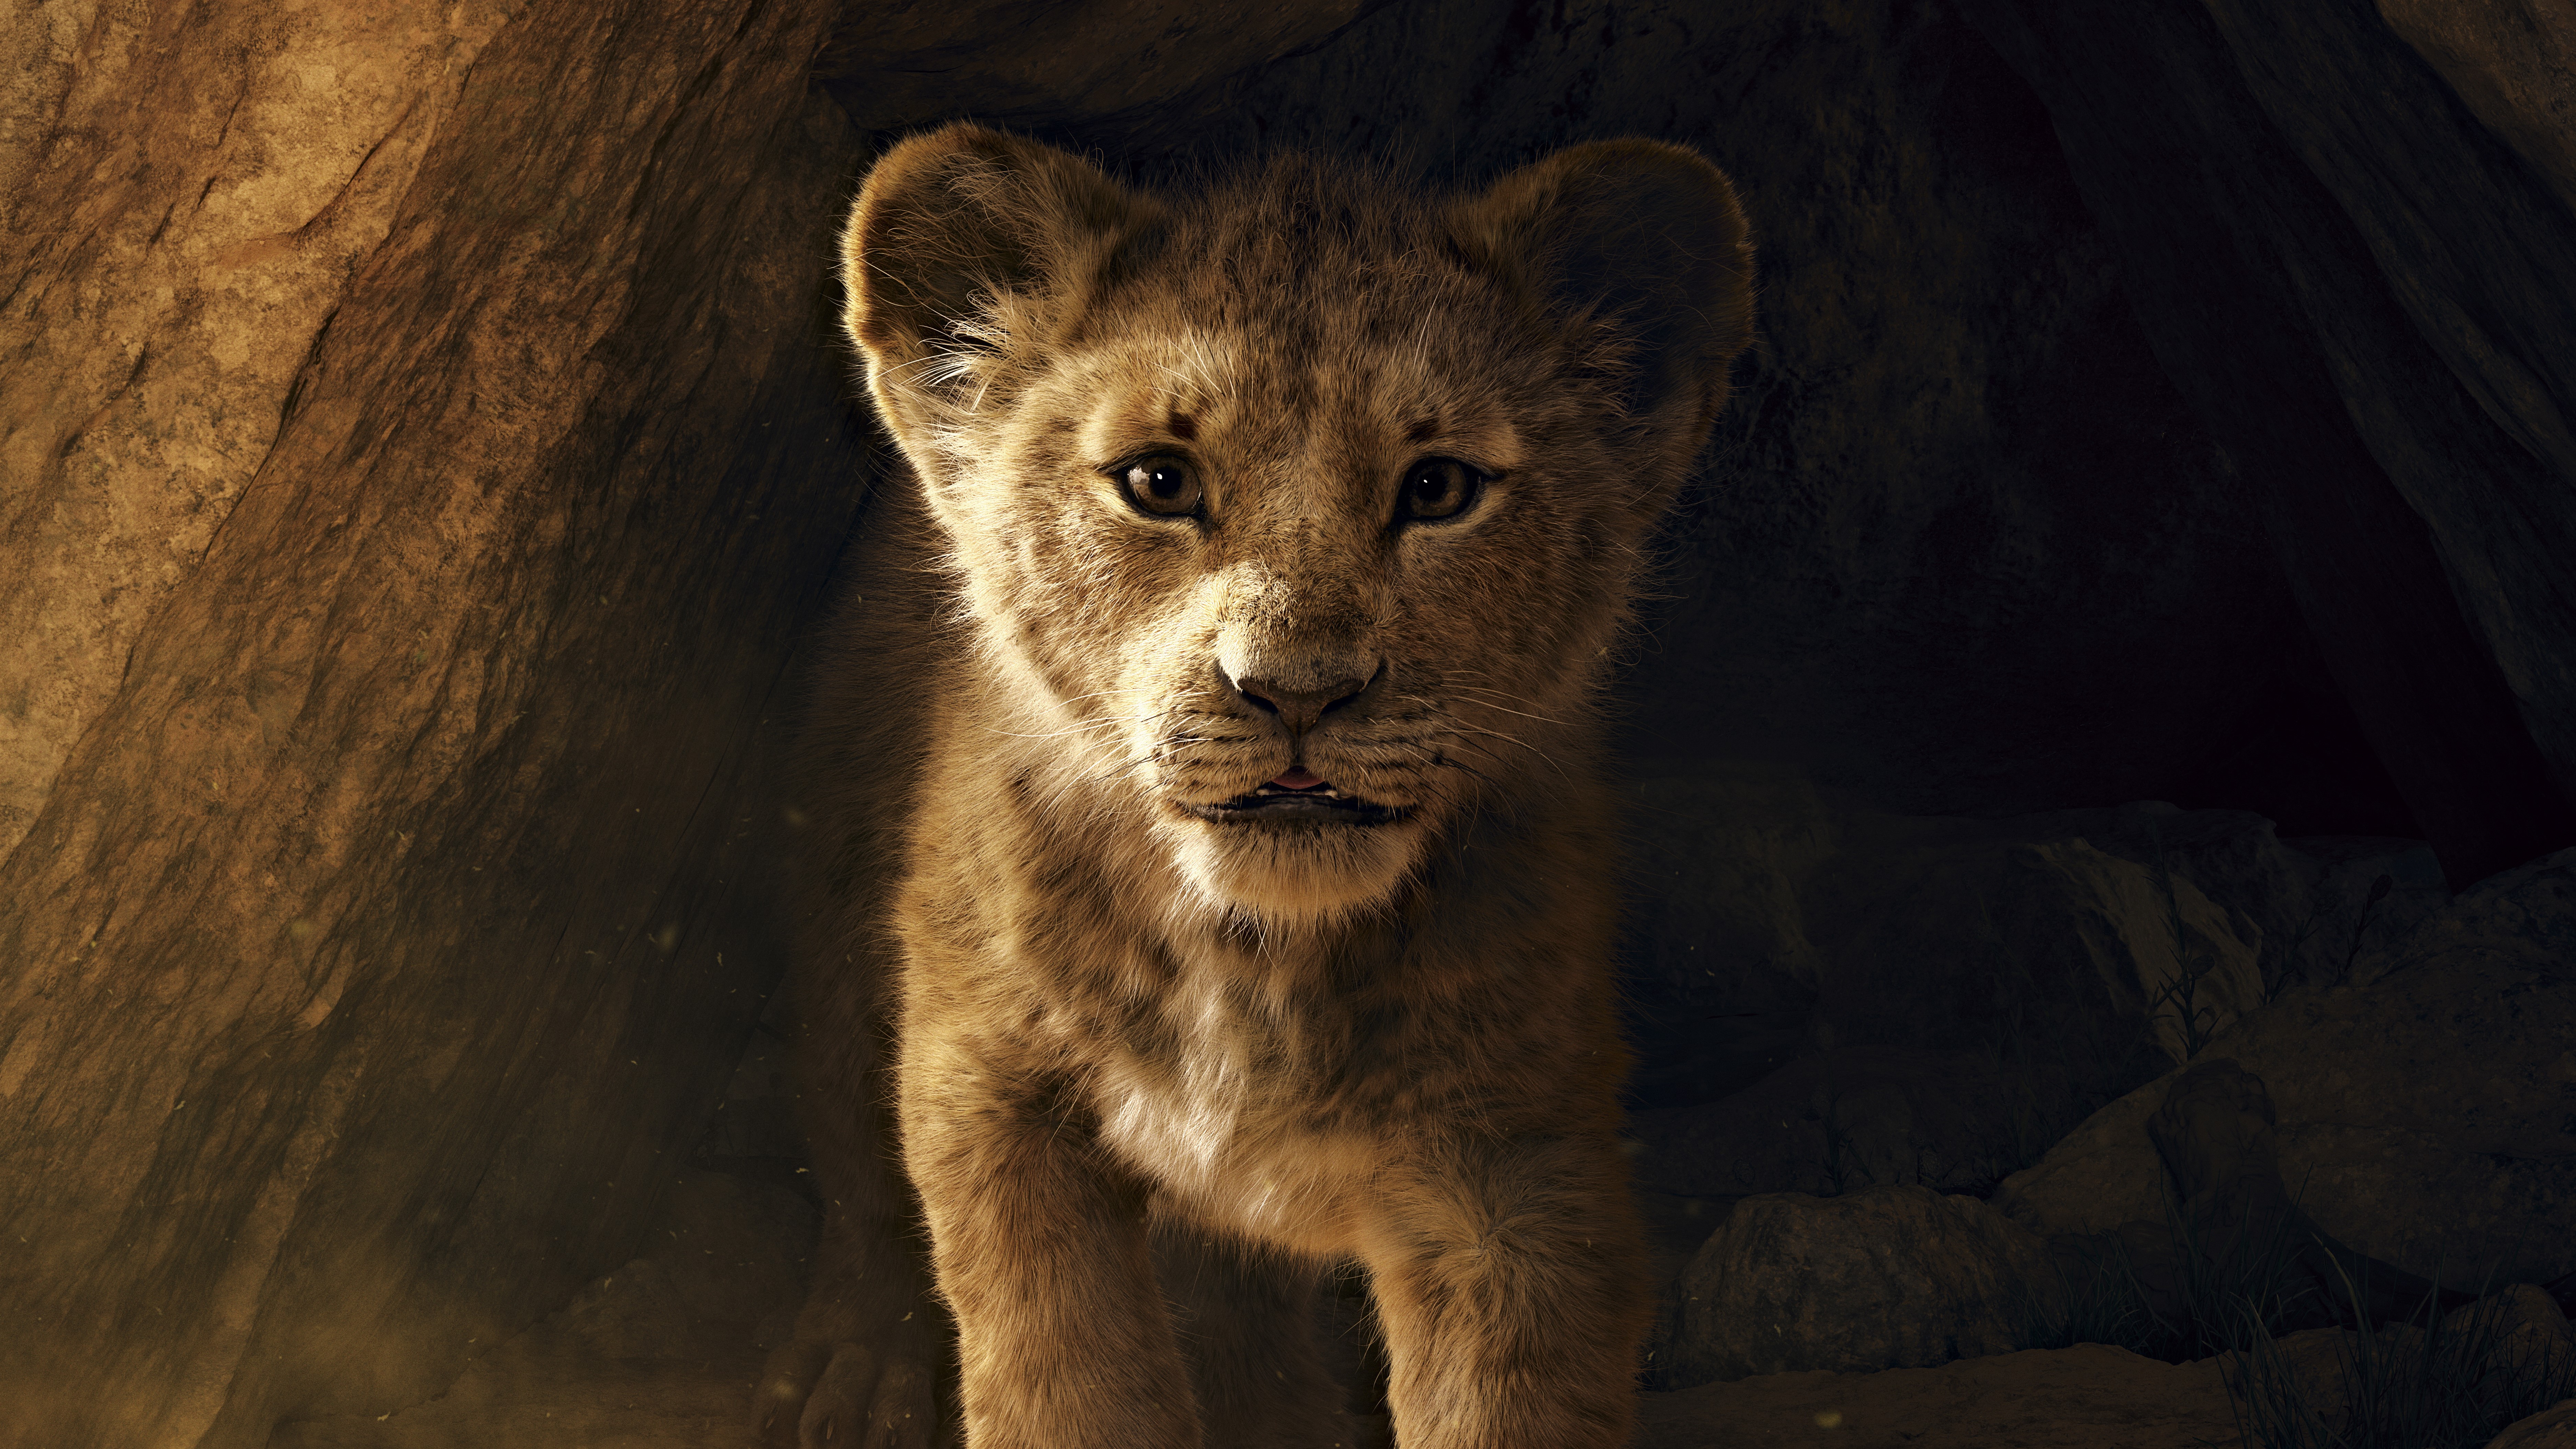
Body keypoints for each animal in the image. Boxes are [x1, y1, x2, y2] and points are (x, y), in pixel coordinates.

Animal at [754, 123, 1755, 1449]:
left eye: (1439, 488)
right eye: (1159, 482)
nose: (1295, 690)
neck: (1254, 958)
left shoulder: (1520, 1162)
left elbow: (1505, 1400)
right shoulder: (990, 1080)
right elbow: (1061, 1372)